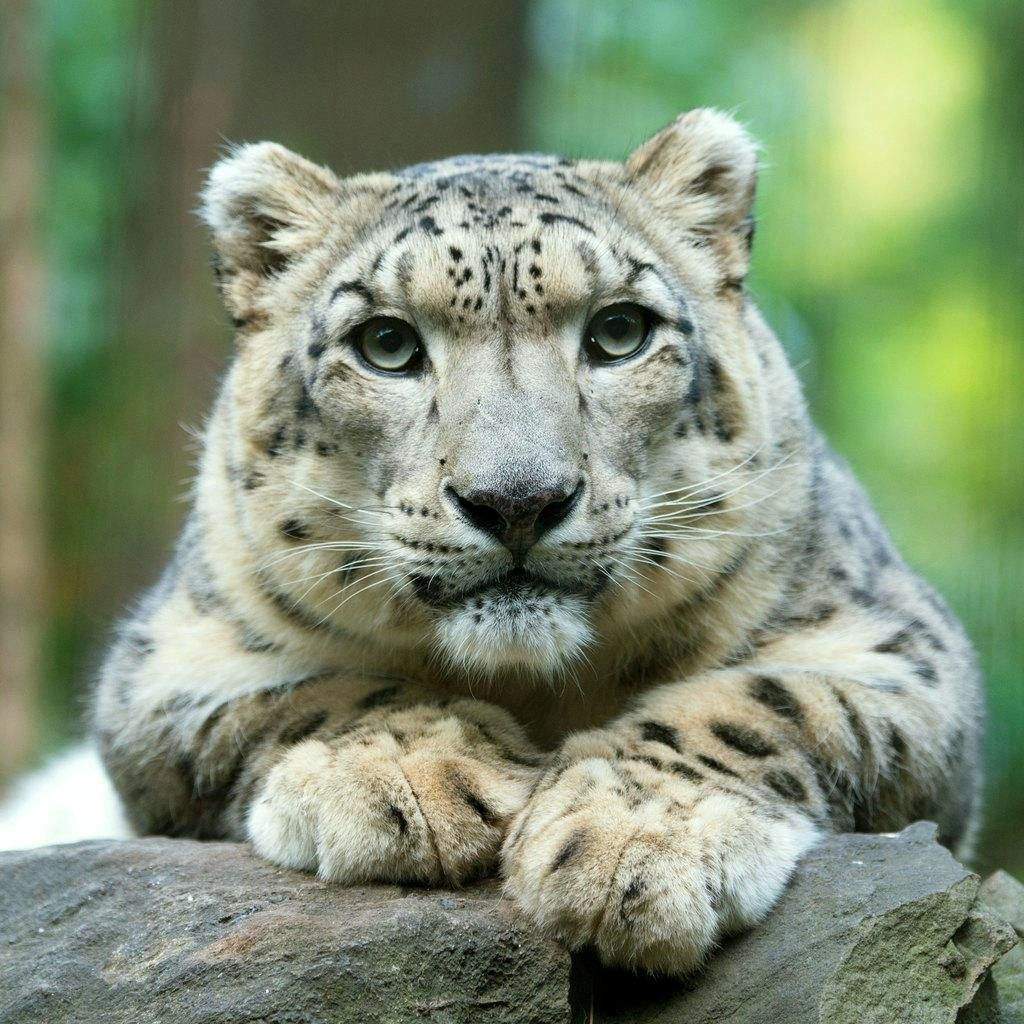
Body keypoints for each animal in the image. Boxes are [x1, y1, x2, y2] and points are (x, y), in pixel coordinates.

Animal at [93, 109, 982, 975]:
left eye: (620, 331)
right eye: (386, 344)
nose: (517, 500)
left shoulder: (894, 642)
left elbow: (763, 700)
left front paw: (635, 838)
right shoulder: (172, 655)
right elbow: (313, 689)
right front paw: (405, 771)